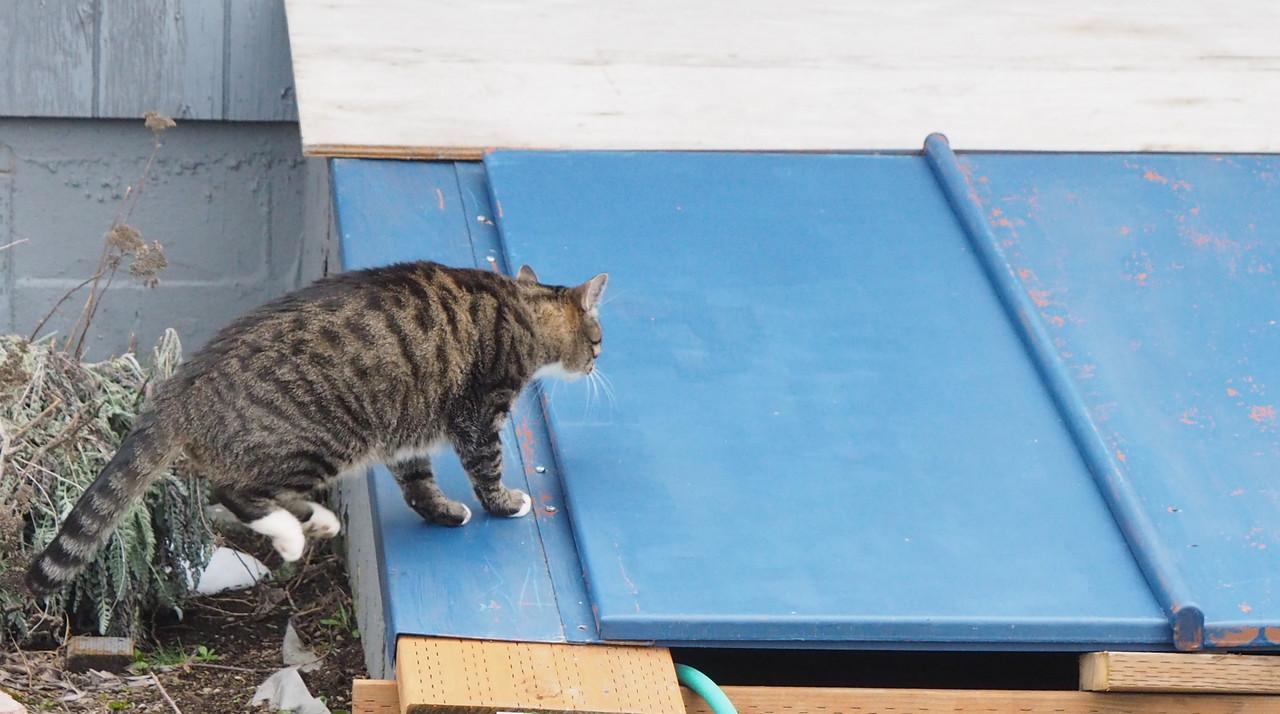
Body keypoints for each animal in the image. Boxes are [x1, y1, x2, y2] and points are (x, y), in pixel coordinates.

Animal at [27, 261, 607, 596]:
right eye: (598, 340)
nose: (598, 363)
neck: (520, 307)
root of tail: (179, 389)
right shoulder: (479, 415)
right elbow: (487, 471)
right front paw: (506, 504)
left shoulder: (407, 436)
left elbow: (418, 486)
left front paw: (442, 513)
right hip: (322, 439)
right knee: (234, 492)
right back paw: (289, 533)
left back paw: (319, 523)